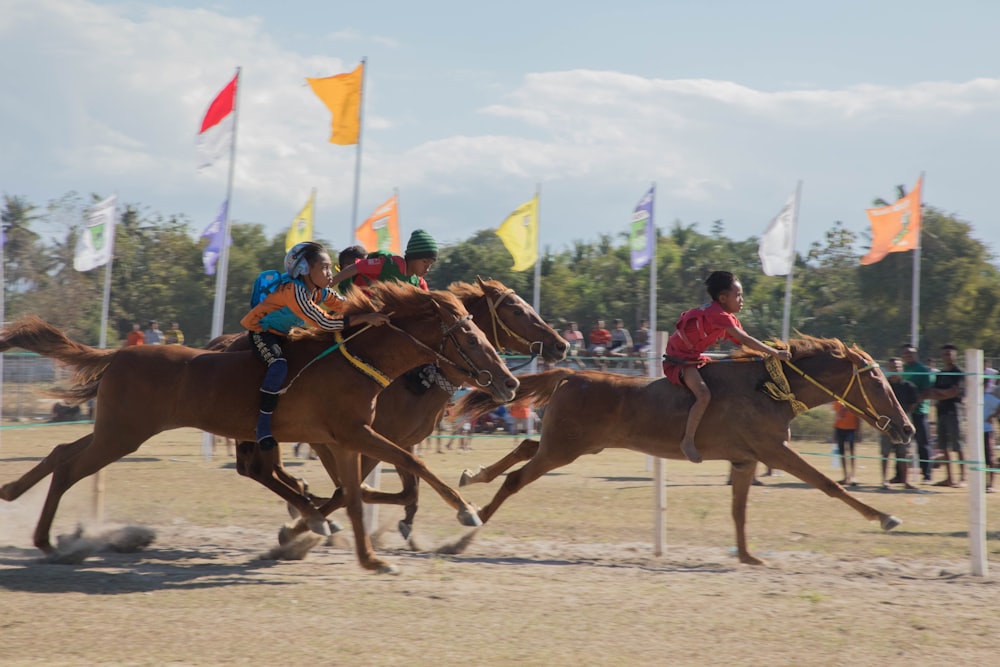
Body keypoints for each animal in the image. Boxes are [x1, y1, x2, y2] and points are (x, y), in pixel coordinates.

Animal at [5, 284, 524, 576]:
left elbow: (357, 497)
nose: (510, 381)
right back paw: (47, 540)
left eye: (482, 331)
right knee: (70, 466)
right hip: (123, 433)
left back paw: (15, 495)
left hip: (116, 428)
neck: (356, 360)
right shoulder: (356, 435)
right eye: (470, 335)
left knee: (62, 450)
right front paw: (466, 511)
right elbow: (408, 465)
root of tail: (119, 353)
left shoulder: (346, 441)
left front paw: (367, 555)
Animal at [214, 276, 568, 544]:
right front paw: (301, 527)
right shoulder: (369, 437)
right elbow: (355, 489)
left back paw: (303, 497)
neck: (415, 376)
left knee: (262, 470)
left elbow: (406, 489)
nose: (561, 344)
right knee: (258, 470)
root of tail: (226, 342)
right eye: (517, 310)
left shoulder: (399, 441)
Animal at [458, 336, 916, 568]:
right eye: (876, 381)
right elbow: (828, 484)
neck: (768, 389)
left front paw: (747, 555)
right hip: (562, 450)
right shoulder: (775, 451)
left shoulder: (746, 459)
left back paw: (472, 477)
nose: (907, 428)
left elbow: (738, 510)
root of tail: (572, 375)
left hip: (568, 444)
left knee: (524, 446)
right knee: (516, 478)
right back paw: (464, 532)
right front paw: (885, 517)